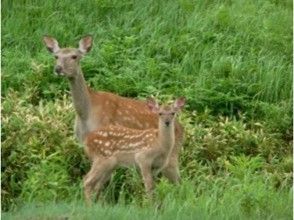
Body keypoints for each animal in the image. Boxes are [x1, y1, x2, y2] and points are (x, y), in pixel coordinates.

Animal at [42, 36, 184, 184]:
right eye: (56, 56)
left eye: (74, 56)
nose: (58, 68)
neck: (86, 114)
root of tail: (182, 129)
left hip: (171, 153)